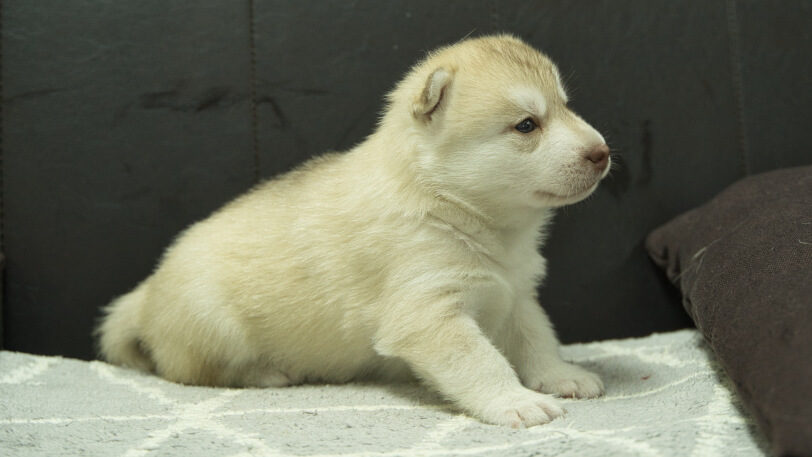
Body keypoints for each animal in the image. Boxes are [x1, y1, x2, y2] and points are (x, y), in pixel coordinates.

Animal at [96, 33, 608, 426]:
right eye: (526, 125)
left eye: (566, 107)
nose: (602, 152)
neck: (454, 206)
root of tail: (145, 292)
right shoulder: (429, 313)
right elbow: (482, 360)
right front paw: (515, 401)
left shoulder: (516, 295)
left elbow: (537, 338)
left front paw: (561, 374)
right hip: (214, 325)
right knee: (197, 372)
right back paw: (267, 374)